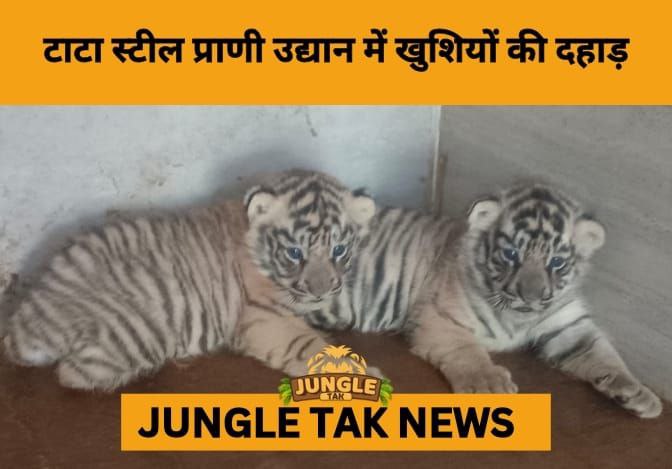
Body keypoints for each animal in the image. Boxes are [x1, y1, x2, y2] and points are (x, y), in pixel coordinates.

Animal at [1, 170, 378, 390]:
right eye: (295, 252)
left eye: (339, 249)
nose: (322, 291)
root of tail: (34, 313)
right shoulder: (262, 320)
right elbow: (309, 347)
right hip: (141, 332)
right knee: (71, 373)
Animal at [303, 183, 662, 418]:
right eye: (511, 254)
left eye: (557, 262)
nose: (530, 297)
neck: (520, 316)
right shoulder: (442, 318)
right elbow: (468, 350)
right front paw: (488, 383)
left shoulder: (570, 326)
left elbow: (605, 354)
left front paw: (638, 392)